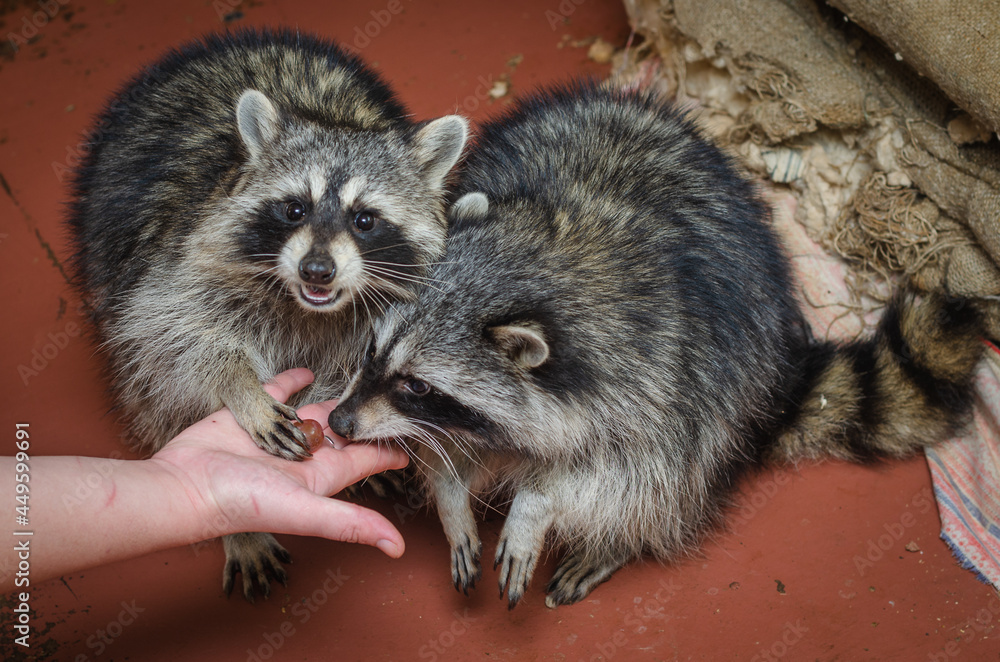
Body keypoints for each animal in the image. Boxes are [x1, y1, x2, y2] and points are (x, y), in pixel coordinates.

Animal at [67, 29, 468, 600]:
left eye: (364, 220)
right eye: (294, 208)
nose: (317, 269)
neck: (311, 308)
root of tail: (228, 42)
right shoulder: (178, 264)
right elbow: (176, 341)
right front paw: (238, 385)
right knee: (151, 391)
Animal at [327, 82, 985, 608]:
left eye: (416, 384)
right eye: (371, 353)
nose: (337, 421)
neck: (547, 256)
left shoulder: (664, 376)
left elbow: (624, 475)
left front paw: (536, 505)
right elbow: (454, 448)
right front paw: (449, 493)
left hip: (740, 375)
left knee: (677, 483)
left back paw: (620, 542)